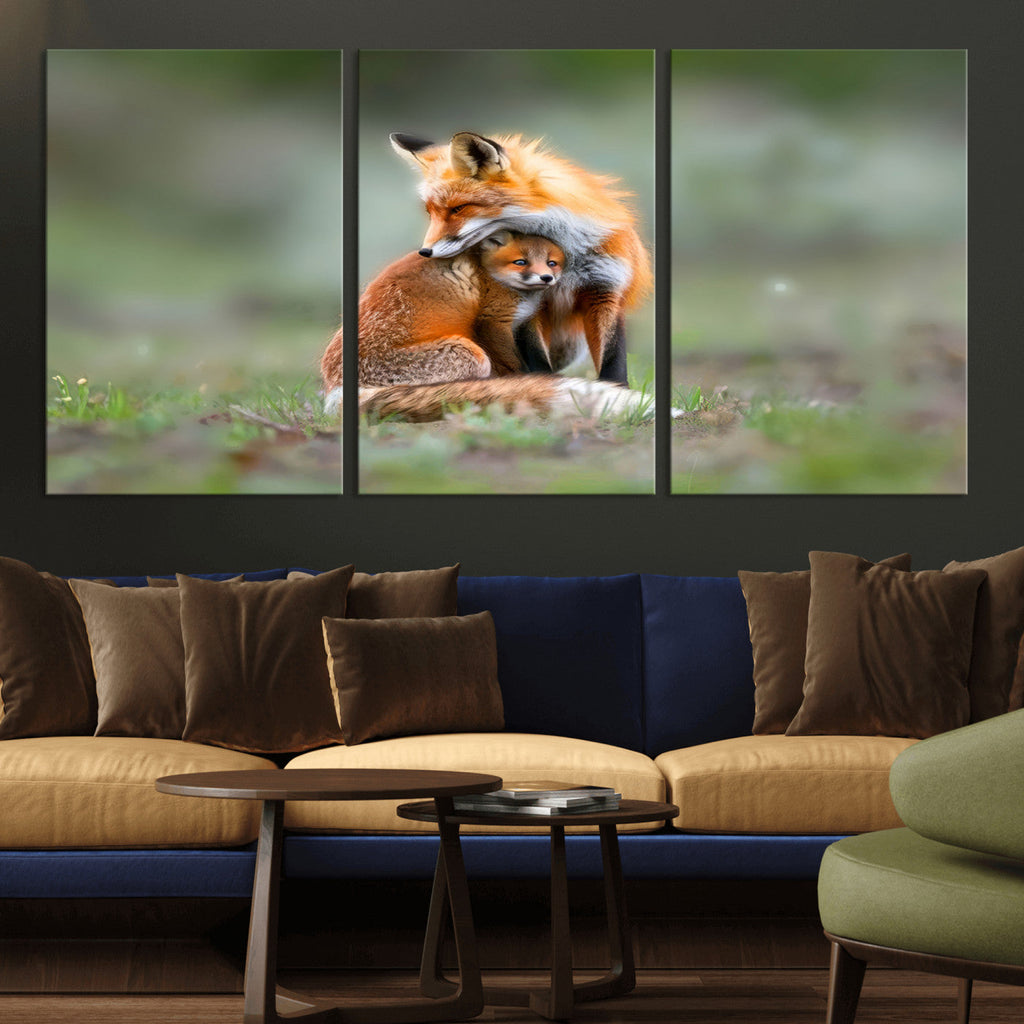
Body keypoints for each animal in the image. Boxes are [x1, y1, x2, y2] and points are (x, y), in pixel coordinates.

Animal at [320, 231, 564, 412]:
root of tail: (334, 384)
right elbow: (516, 365)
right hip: (471, 355)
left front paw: (547, 377)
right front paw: (528, 382)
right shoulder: (493, 322)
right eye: (521, 262)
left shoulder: (525, 323)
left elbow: (540, 359)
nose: (546, 278)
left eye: (551, 263)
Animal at [390, 130, 652, 383]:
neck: (567, 257)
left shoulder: (605, 290)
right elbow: (537, 359)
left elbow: (613, 361)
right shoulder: (529, 304)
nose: (425, 252)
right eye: (430, 212)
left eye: (458, 208)